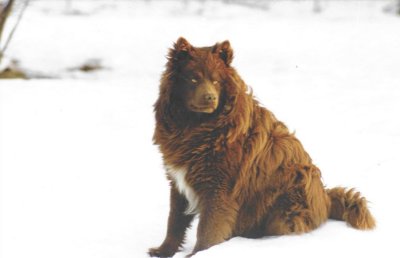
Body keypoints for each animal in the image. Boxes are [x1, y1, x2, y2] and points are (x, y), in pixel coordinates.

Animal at [148, 37, 376, 256]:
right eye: (193, 78)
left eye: (216, 80)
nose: (210, 97)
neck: (196, 127)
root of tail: (326, 199)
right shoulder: (178, 180)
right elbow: (175, 221)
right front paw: (162, 251)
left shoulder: (220, 186)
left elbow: (207, 228)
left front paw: (199, 253)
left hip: (291, 191)